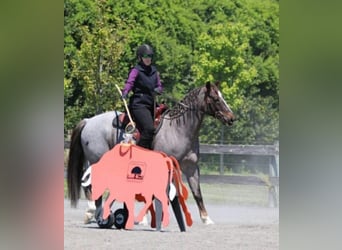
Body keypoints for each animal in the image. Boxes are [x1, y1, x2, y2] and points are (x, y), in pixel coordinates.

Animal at [67, 81, 235, 225]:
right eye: (215, 98)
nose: (231, 118)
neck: (178, 130)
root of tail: (88, 121)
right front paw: (146, 218)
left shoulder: (191, 167)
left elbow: (197, 192)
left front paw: (206, 219)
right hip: (97, 160)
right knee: (91, 184)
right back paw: (92, 212)